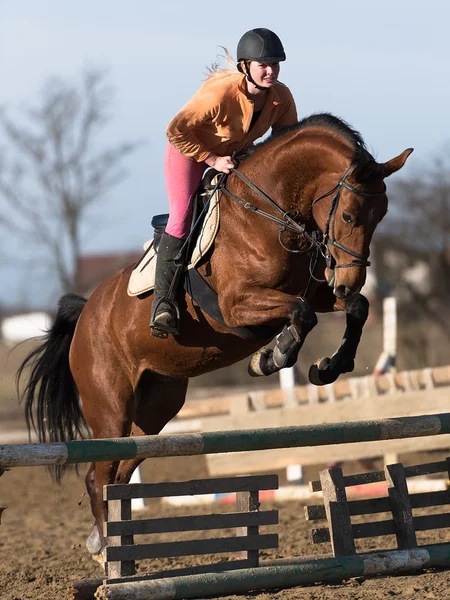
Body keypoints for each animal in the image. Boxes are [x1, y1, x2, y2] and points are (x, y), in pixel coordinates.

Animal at [17, 113, 412, 556]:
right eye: (348, 216)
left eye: (380, 216)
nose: (347, 281)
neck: (269, 215)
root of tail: (85, 314)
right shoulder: (237, 305)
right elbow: (302, 313)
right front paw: (273, 356)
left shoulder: (318, 290)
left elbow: (354, 309)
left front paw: (328, 366)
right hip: (110, 407)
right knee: (99, 476)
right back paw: (105, 552)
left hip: (156, 409)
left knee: (118, 474)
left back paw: (118, 544)